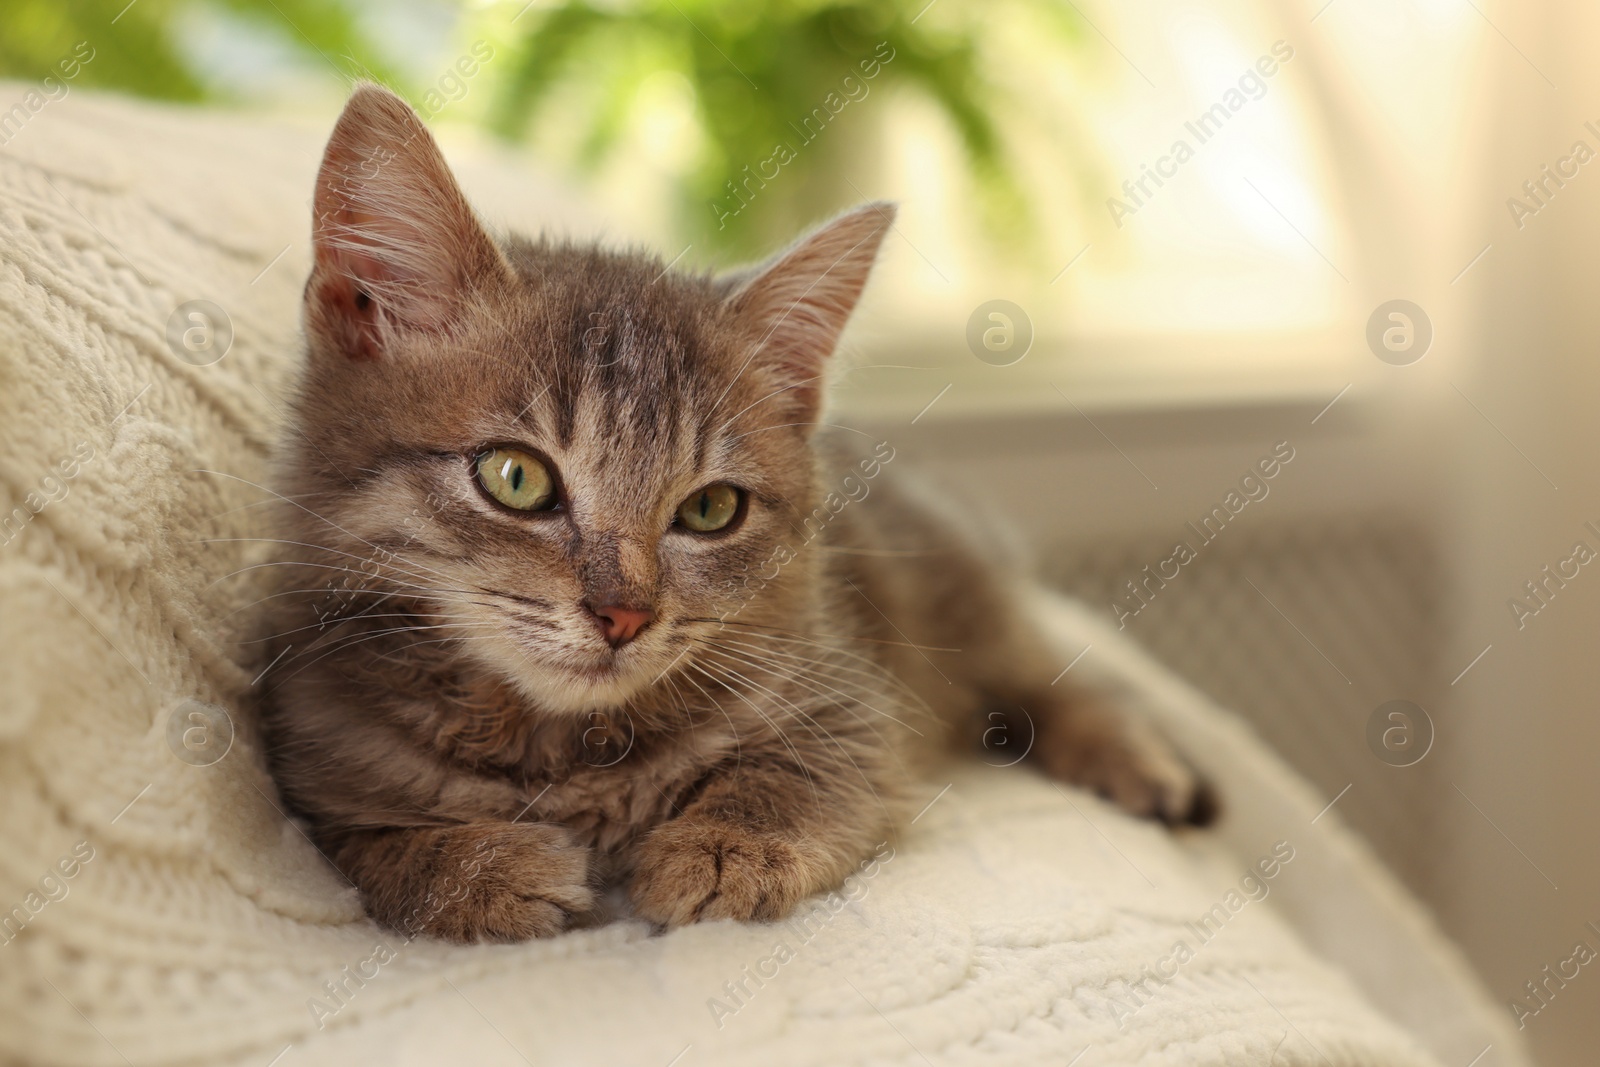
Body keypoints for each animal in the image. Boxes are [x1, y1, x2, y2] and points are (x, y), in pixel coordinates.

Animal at [262, 87, 1209, 947]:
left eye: (710, 508)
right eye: (516, 478)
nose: (623, 614)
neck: (570, 749)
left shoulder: (851, 701)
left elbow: (801, 774)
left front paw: (724, 847)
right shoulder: (315, 750)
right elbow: (363, 839)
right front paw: (469, 866)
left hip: (965, 595)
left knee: (1059, 673)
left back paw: (1142, 761)